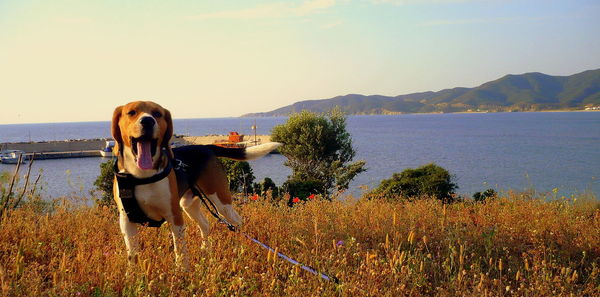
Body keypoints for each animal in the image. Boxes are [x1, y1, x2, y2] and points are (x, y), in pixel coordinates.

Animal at [111, 101, 280, 266]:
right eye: (131, 112)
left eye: (157, 113)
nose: (147, 121)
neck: (142, 176)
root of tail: (206, 147)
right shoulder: (126, 221)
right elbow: (132, 255)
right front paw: (132, 274)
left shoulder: (175, 216)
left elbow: (180, 253)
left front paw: (181, 273)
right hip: (188, 204)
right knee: (205, 224)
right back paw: (206, 251)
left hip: (220, 201)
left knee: (237, 222)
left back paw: (239, 249)